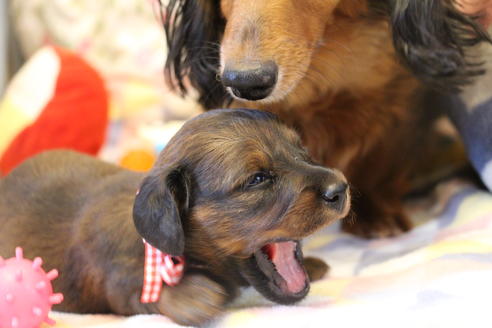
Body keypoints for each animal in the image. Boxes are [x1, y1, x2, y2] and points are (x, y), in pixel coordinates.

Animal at [0, 109, 350, 326]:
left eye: (302, 152)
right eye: (257, 179)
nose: (342, 188)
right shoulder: (121, 284)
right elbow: (146, 294)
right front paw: (193, 295)